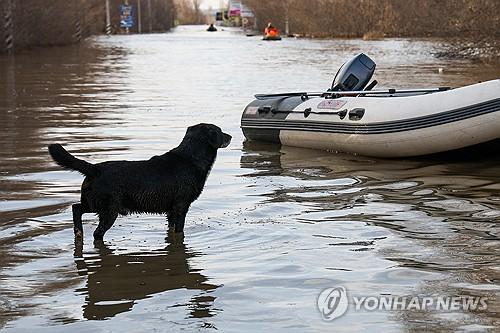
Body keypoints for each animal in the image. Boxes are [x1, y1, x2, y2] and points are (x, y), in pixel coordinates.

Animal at [48, 123, 232, 237]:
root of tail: (95, 169)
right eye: (219, 131)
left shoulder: (171, 211)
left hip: (93, 202)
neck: (191, 157)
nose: (230, 136)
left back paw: (78, 233)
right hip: (109, 210)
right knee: (96, 233)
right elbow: (179, 231)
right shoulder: (181, 206)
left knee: (76, 207)